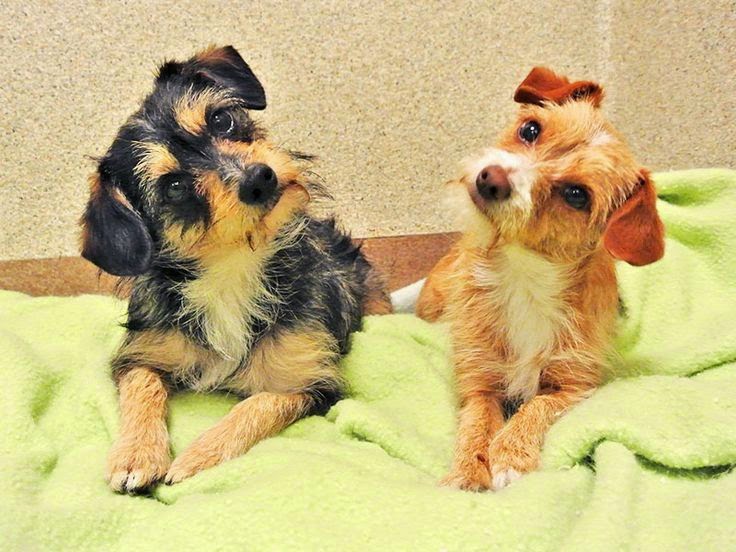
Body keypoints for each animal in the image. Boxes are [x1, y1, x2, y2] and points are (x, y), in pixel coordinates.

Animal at [80, 45, 391, 493]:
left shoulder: (310, 381)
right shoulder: (139, 354)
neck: (232, 269)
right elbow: (142, 388)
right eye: (175, 187)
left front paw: (198, 456)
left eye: (221, 120)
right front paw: (135, 453)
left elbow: (255, 406)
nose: (259, 179)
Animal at [416, 67, 665, 491]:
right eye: (531, 129)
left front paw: (511, 455)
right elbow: (476, 422)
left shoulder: (576, 385)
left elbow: (537, 405)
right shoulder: (477, 380)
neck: (522, 276)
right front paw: (466, 470)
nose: (491, 179)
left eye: (577, 194)